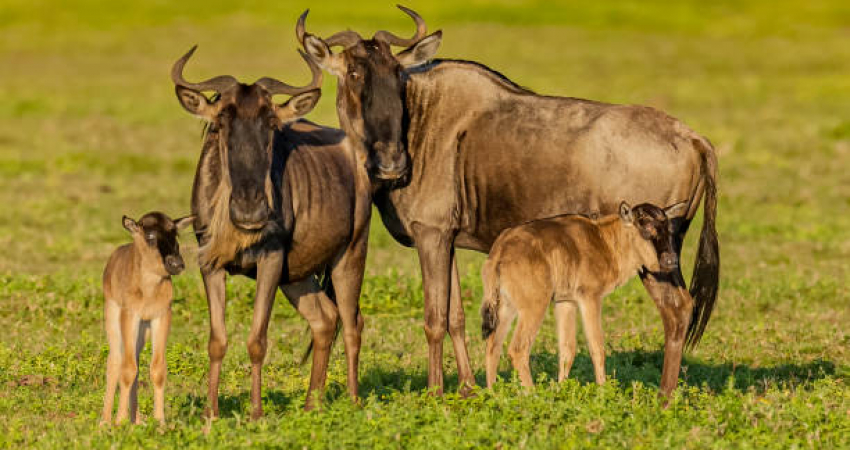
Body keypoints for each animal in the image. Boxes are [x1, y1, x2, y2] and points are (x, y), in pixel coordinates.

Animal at [100, 213, 191, 424]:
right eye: (150, 236)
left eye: (175, 233)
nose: (176, 264)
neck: (149, 289)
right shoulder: (129, 315)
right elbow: (126, 369)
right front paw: (120, 422)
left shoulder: (161, 317)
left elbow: (157, 369)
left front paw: (160, 422)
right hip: (113, 315)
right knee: (115, 361)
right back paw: (105, 421)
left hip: (142, 330)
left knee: (135, 361)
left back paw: (137, 420)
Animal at [476, 202, 688, 388]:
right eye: (645, 229)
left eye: (668, 229)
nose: (671, 261)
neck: (606, 241)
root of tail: (500, 250)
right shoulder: (590, 298)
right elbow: (597, 347)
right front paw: (603, 391)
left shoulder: (565, 301)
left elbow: (567, 349)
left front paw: (561, 390)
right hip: (534, 307)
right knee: (518, 349)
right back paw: (532, 394)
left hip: (506, 307)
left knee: (492, 346)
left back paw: (493, 392)